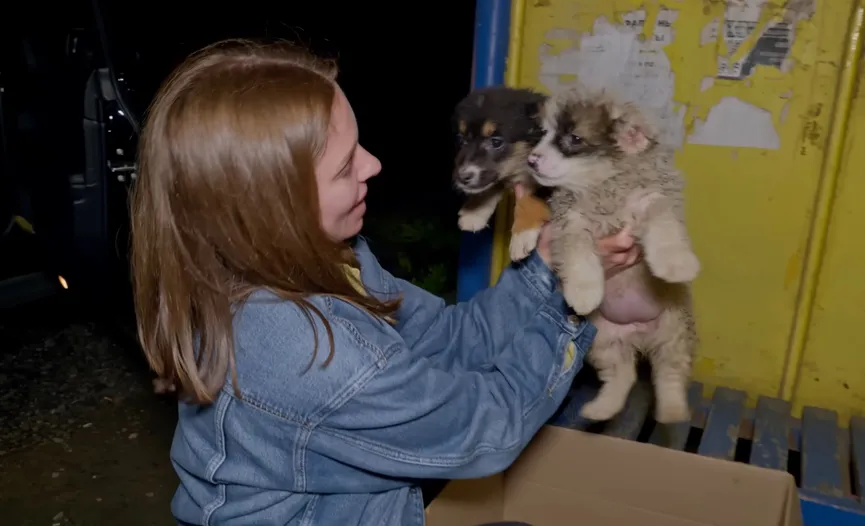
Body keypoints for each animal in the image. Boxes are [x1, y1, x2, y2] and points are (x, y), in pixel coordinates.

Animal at [448, 86, 552, 264]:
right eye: (461, 140)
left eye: (496, 142)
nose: (462, 178)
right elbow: (493, 184)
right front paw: (474, 212)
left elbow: (531, 198)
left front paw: (522, 235)